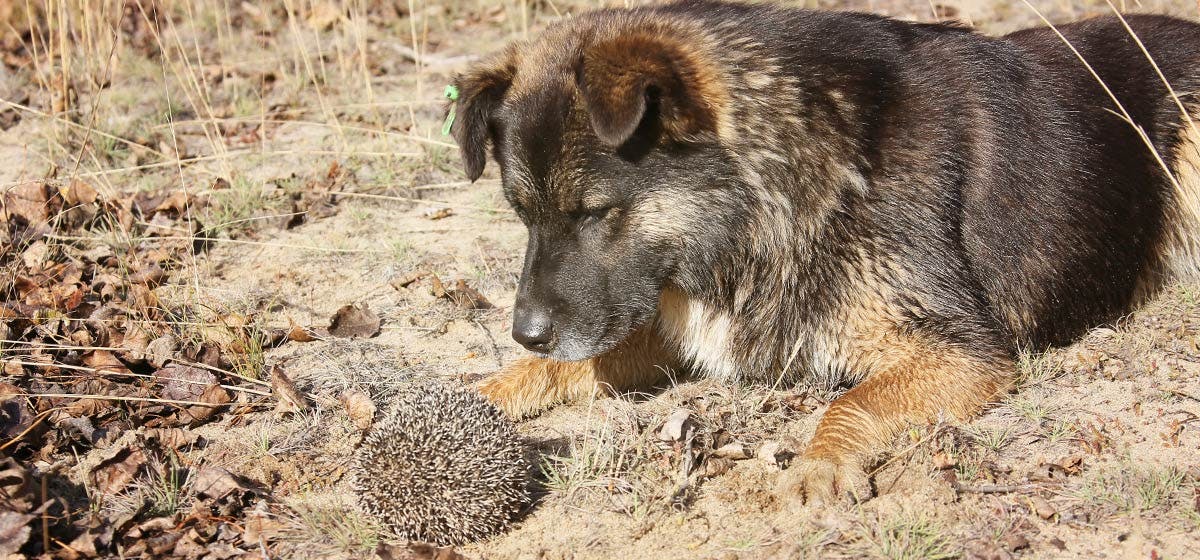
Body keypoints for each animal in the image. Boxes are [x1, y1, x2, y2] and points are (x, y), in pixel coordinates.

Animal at [444, 0, 1200, 506]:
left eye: (596, 212)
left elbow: (850, 404)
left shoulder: (958, 353)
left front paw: (817, 464)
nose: (526, 332)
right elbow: (565, 367)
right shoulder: (672, 328)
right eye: (522, 213)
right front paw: (483, 391)